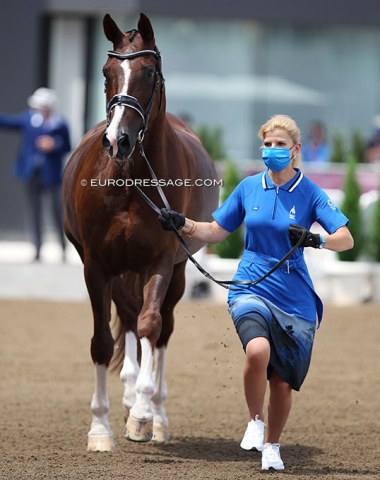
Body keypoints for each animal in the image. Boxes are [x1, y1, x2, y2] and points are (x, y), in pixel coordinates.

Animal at [61, 13, 217, 452]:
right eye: (106, 72)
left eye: (150, 72)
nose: (118, 140)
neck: (130, 180)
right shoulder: (96, 266)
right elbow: (102, 341)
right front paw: (100, 428)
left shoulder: (161, 261)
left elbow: (151, 325)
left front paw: (144, 417)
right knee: (128, 321)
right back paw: (130, 395)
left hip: (178, 271)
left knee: (160, 330)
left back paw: (156, 416)